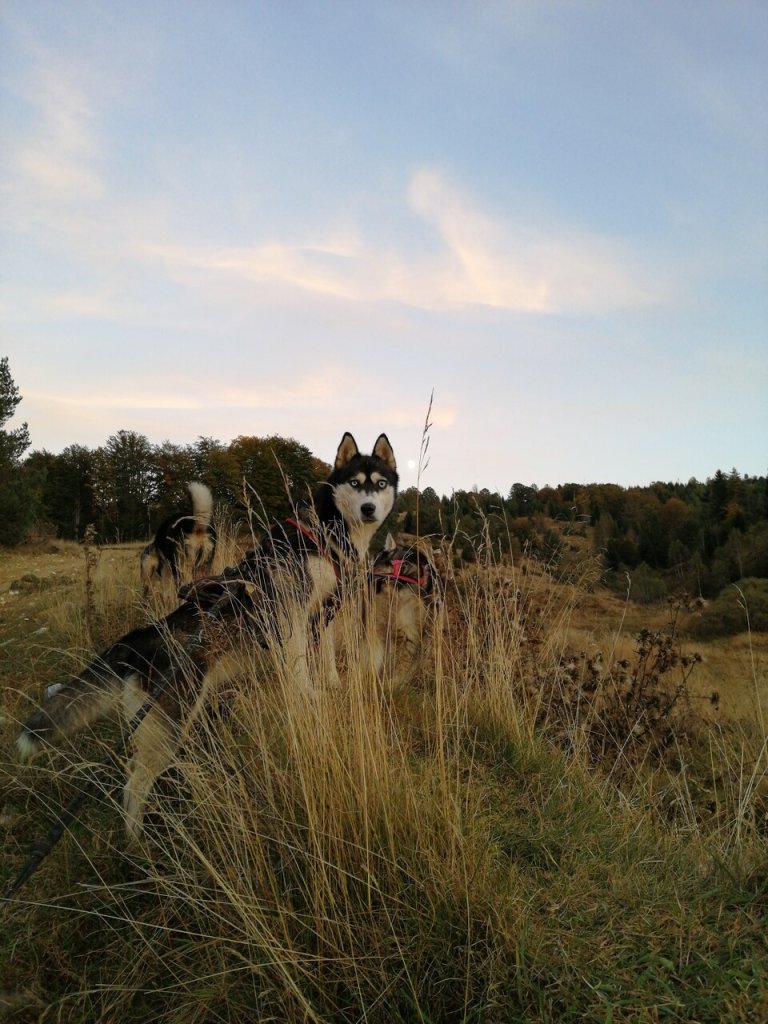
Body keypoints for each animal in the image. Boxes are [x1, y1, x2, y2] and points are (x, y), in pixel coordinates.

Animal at [16, 432, 403, 839]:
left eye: (379, 484)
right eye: (355, 483)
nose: (368, 509)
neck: (325, 529)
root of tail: (138, 639)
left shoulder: (324, 609)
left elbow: (325, 656)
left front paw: (331, 684)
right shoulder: (291, 612)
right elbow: (299, 668)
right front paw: (308, 696)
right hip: (167, 724)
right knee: (135, 783)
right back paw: (137, 844)